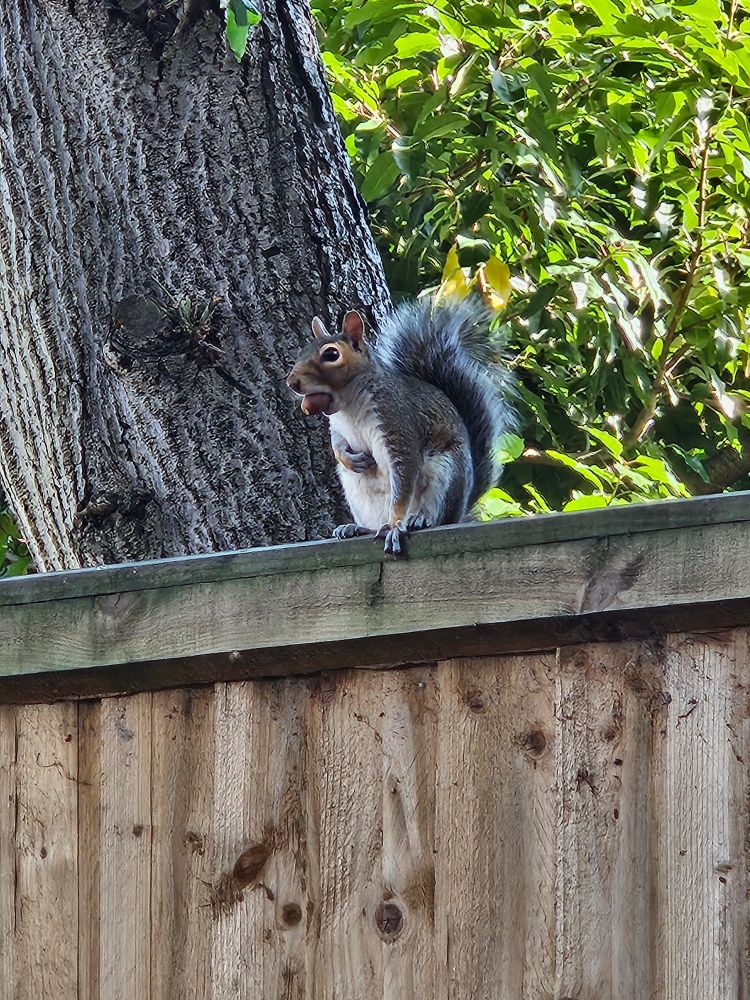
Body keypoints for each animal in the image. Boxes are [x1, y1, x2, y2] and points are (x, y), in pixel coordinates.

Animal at [286, 295, 515, 555]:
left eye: (332, 354)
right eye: (302, 352)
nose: (292, 382)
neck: (348, 407)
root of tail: (460, 512)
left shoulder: (397, 424)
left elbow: (403, 483)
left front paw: (396, 526)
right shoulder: (337, 427)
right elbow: (338, 443)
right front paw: (349, 458)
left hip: (446, 473)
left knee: (436, 516)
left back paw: (419, 520)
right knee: (373, 523)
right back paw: (356, 528)